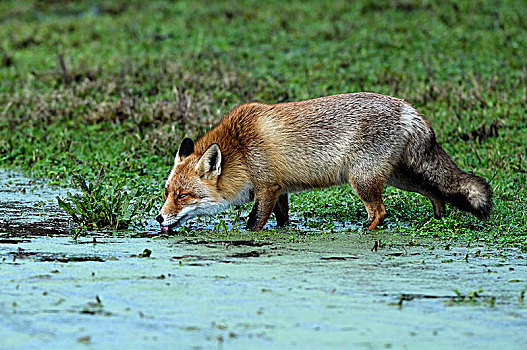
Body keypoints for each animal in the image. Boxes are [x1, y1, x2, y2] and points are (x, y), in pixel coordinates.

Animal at [155, 91, 492, 231]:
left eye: (184, 196)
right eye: (167, 193)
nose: (158, 218)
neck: (240, 150)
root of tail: (408, 107)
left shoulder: (266, 188)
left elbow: (252, 224)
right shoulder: (280, 190)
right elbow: (282, 221)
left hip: (363, 180)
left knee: (380, 212)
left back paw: (363, 232)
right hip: (401, 178)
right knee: (436, 191)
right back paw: (438, 219)